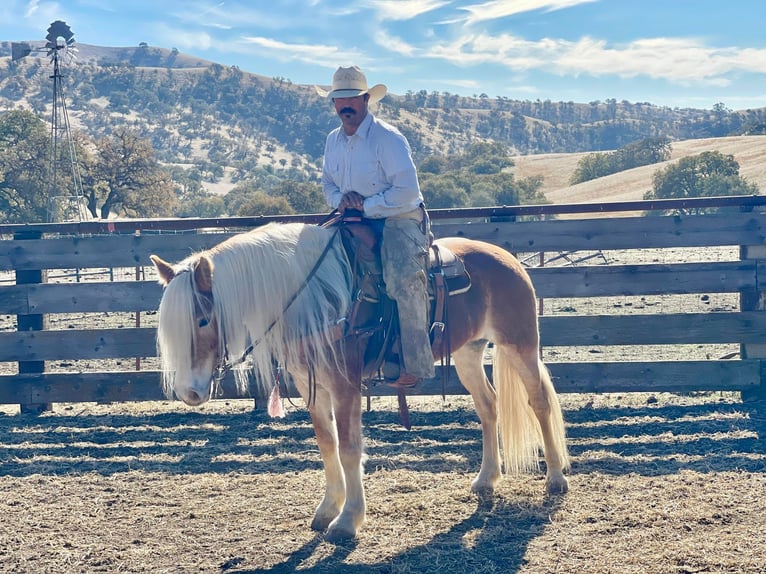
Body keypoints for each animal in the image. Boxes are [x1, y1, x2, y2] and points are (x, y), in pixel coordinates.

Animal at [150, 223, 568, 544]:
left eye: (203, 319)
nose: (189, 392)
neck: (315, 300)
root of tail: (508, 258)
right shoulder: (312, 386)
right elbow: (327, 444)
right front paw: (327, 509)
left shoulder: (344, 384)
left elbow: (349, 448)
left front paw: (348, 519)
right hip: (468, 352)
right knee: (488, 406)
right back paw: (485, 479)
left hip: (520, 345)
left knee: (539, 402)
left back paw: (556, 478)